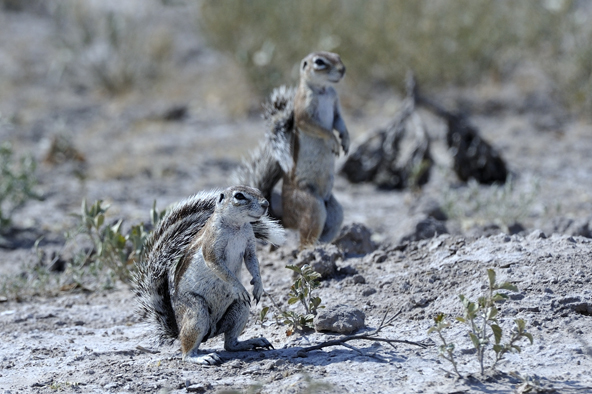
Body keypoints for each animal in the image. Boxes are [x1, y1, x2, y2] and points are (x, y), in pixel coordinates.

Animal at [137, 186, 290, 364]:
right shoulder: (211, 247)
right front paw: (239, 287)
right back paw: (201, 357)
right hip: (196, 311)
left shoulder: (249, 244)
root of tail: (178, 329)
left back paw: (253, 342)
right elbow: (220, 268)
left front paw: (258, 286)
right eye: (239, 196)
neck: (236, 227)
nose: (265, 204)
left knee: (229, 344)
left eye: (257, 190)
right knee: (186, 352)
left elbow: (253, 262)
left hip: (241, 307)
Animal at [234, 51, 350, 249]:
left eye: (338, 56)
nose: (342, 70)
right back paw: (311, 250)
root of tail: (286, 218)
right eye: (320, 62)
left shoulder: (336, 105)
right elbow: (317, 127)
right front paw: (333, 141)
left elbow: (339, 122)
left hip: (335, 211)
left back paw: (327, 247)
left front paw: (346, 140)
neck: (324, 90)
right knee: (305, 239)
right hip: (311, 206)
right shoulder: (303, 110)